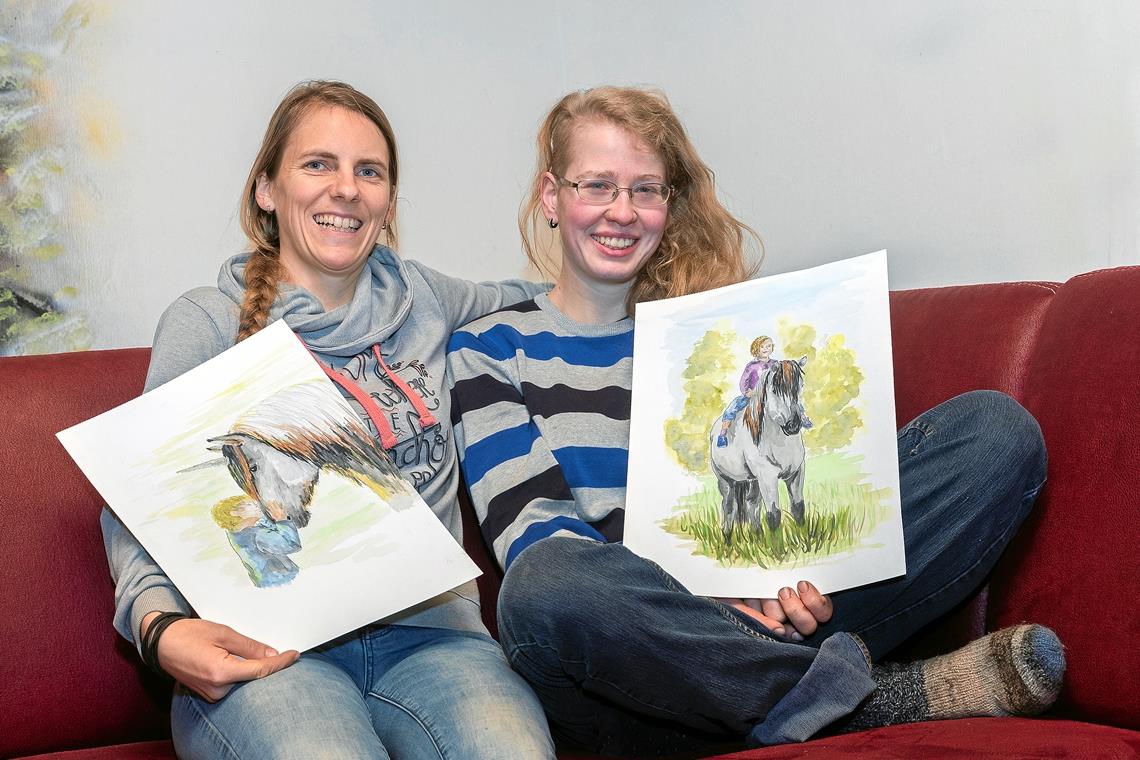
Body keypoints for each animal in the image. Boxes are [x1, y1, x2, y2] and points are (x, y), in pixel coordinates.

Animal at [706, 357, 807, 540]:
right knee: (729, 508)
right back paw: (727, 540)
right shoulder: (767, 477)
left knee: (752, 505)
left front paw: (805, 541)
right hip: (726, 481)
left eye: (800, 385)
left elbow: (798, 509)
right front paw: (777, 547)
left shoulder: (796, 473)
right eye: (774, 389)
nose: (793, 425)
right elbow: (774, 515)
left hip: (753, 481)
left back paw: (758, 537)